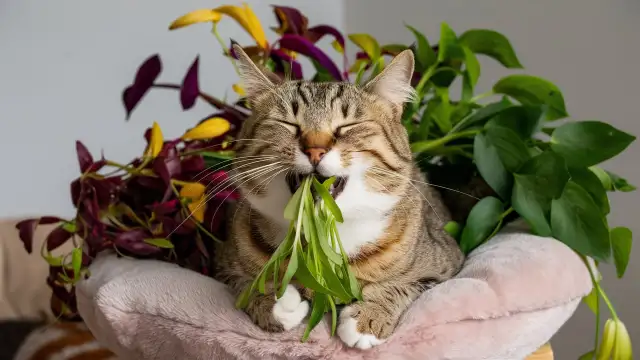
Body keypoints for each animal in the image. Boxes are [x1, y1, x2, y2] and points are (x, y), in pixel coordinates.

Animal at [215, 44, 464, 348]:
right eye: (288, 123)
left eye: (347, 126)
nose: (315, 150)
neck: (320, 240)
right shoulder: (223, 262)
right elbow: (246, 285)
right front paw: (276, 302)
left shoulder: (447, 264)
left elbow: (404, 284)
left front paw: (368, 318)